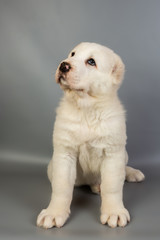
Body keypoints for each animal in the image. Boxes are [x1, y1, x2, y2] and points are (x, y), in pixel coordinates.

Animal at [36, 42, 145, 229]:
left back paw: (131, 173)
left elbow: (112, 186)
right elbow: (61, 187)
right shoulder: (65, 153)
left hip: (123, 153)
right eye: (72, 54)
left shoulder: (112, 153)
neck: (87, 109)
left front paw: (114, 212)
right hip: (52, 166)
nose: (63, 65)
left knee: (122, 170)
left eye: (91, 62)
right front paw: (54, 213)